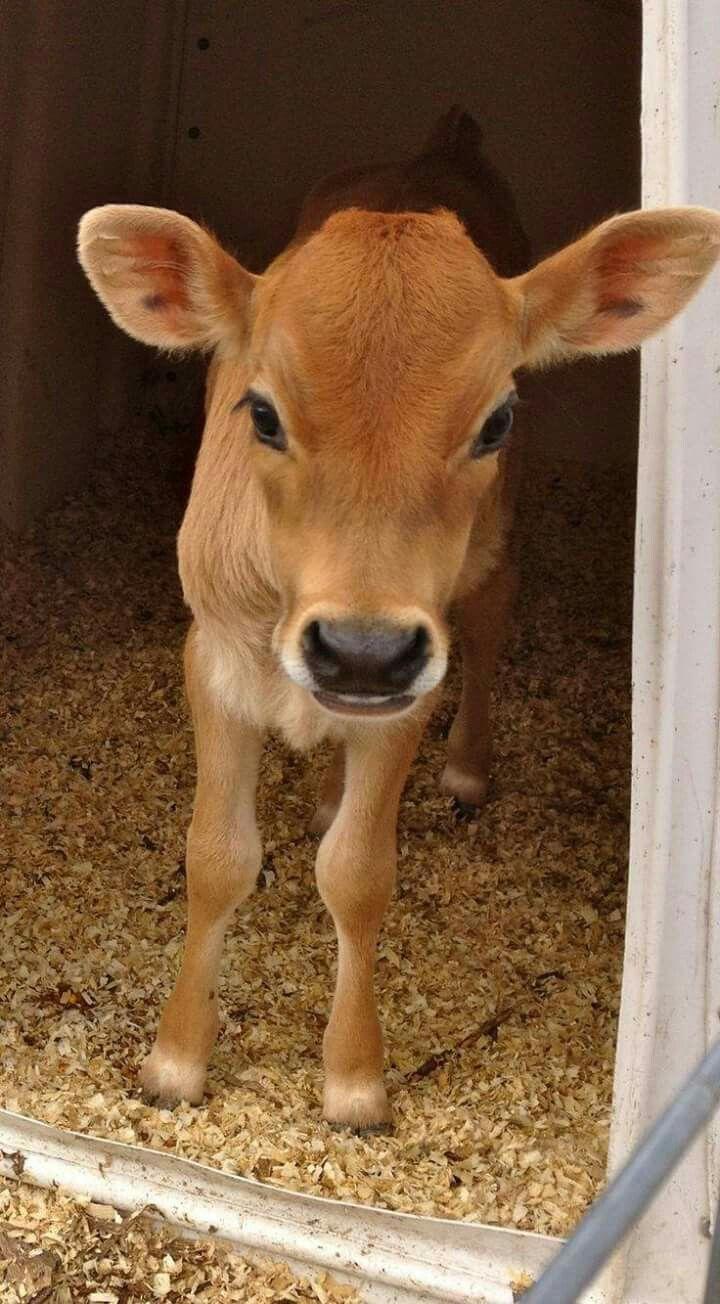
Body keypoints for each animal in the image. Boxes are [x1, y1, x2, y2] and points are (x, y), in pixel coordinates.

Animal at [78, 108, 720, 1131]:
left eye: (495, 419)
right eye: (260, 412)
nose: (362, 652)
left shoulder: (412, 683)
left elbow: (358, 874)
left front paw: (353, 1080)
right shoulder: (212, 653)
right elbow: (215, 856)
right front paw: (175, 1062)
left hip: (485, 560)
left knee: (492, 613)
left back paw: (464, 768)